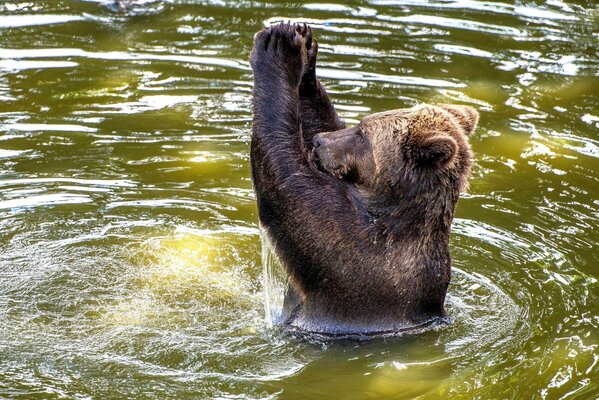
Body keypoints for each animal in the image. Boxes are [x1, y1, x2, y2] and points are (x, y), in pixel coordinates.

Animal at [251, 22, 480, 338]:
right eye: (358, 124)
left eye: (362, 133)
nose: (319, 142)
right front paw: (305, 48)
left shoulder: (349, 251)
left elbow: (286, 179)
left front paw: (278, 48)